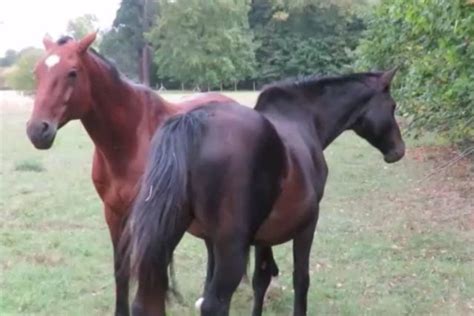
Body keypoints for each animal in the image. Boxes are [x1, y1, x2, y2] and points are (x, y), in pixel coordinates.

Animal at [25, 32, 236, 316]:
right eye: (37, 72)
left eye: (72, 72)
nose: (38, 130)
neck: (130, 139)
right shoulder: (114, 212)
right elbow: (121, 271)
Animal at [121, 68, 404, 314]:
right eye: (392, 106)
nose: (398, 150)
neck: (304, 119)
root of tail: (193, 122)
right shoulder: (307, 225)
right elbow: (301, 279)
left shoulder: (263, 236)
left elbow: (261, 279)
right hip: (230, 248)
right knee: (214, 304)